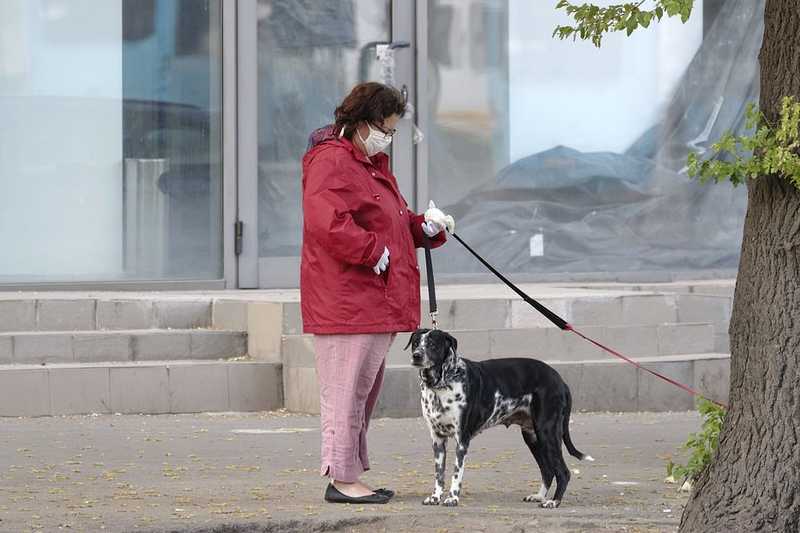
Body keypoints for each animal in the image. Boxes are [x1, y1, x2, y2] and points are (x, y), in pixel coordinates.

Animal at [406, 328, 592, 508]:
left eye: (432, 344)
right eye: (416, 343)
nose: (417, 355)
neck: (441, 384)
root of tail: (560, 380)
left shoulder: (462, 439)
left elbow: (456, 473)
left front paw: (452, 498)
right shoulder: (437, 440)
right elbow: (439, 473)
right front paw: (435, 497)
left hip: (547, 432)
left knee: (563, 472)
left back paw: (554, 501)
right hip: (532, 437)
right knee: (547, 470)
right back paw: (539, 496)